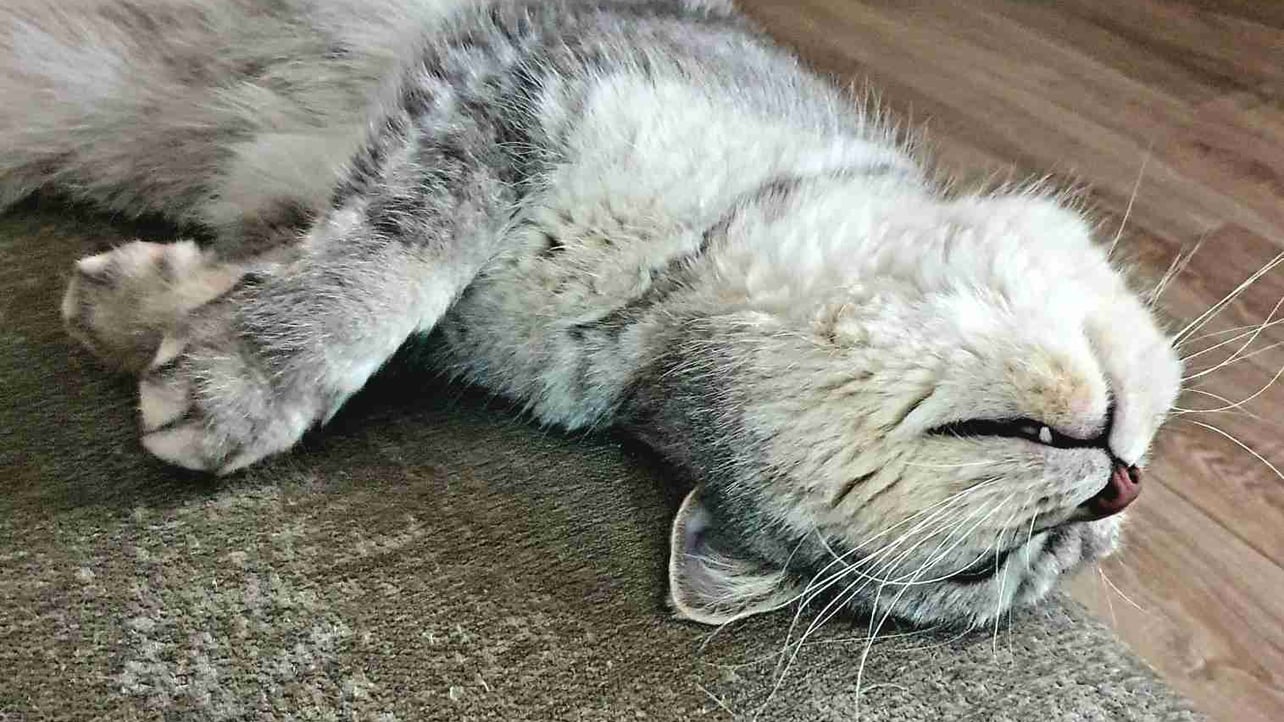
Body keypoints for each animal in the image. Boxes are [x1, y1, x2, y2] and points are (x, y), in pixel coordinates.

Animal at [1, 0, 1182, 630]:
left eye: (989, 573)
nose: (1118, 490)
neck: (651, 302)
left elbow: (306, 255)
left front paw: (135, 308)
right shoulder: (517, 75)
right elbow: (401, 255)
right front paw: (250, 370)